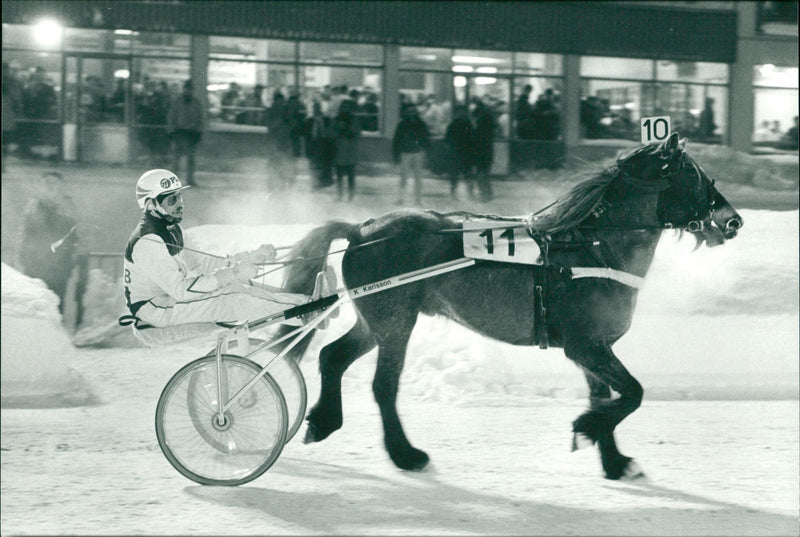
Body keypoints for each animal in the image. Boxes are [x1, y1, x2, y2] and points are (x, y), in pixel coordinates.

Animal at [280, 133, 744, 478]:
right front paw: (587, 429)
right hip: (396, 322)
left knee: (333, 356)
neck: (592, 247)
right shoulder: (586, 345)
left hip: (375, 320)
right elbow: (632, 393)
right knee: (383, 386)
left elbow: (605, 396)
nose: (734, 220)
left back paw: (323, 421)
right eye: (694, 175)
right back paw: (406, 455)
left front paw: (613, 461)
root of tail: (362, 230)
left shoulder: (592, 349)